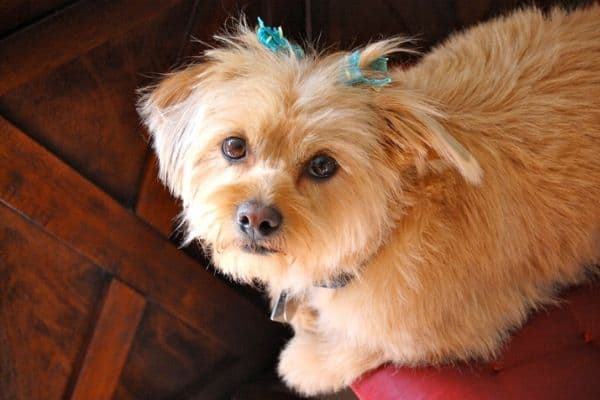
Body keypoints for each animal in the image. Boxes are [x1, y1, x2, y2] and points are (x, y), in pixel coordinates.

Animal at [139, 6, 600, 396]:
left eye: (323, 165)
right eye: (234, 146)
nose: (255, 218)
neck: (389, 228)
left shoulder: (467, 324)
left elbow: (365, 341)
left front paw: (305, 361)